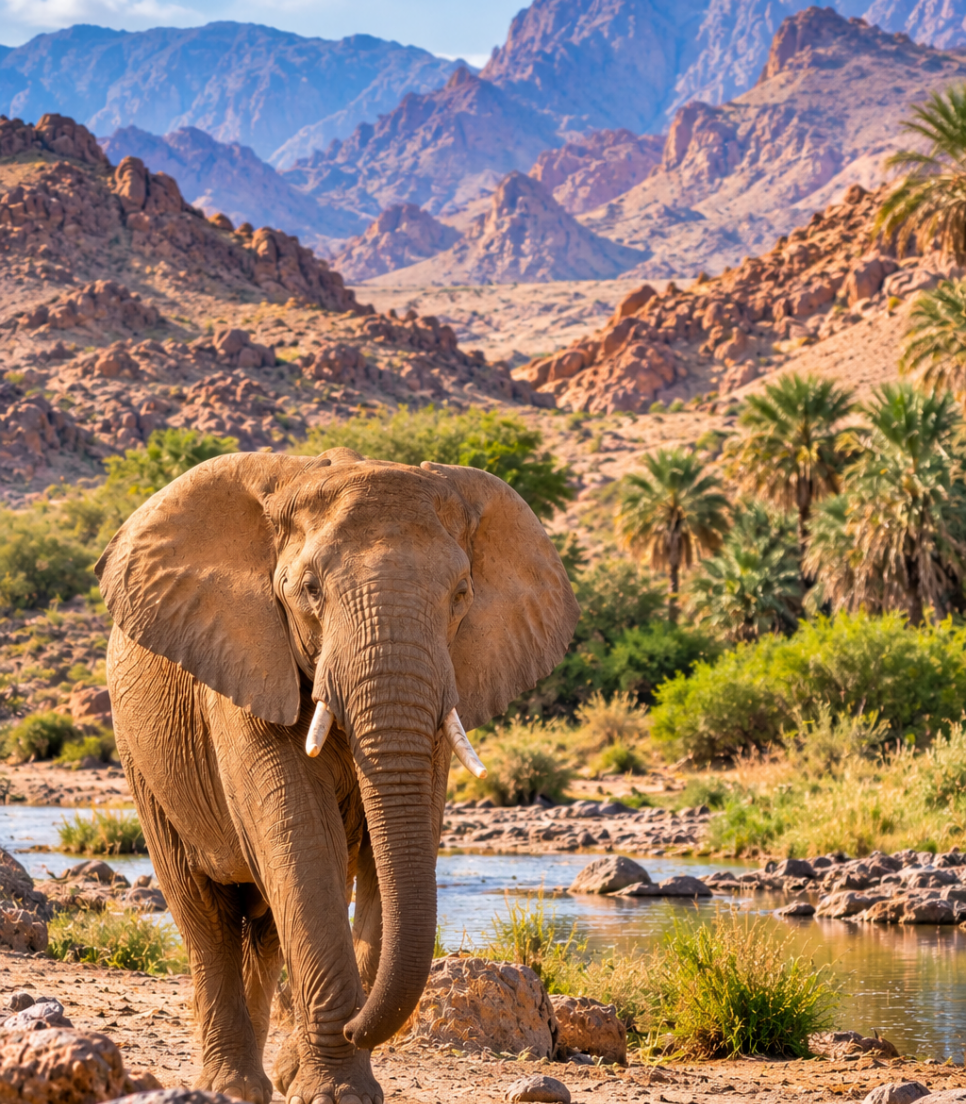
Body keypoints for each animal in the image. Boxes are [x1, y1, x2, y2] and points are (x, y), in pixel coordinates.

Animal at [95, 446, 579, 1104]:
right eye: (309, 590)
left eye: (461, 593)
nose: (353, 1026)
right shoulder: (247, 659)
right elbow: (303, 846)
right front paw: (334, 1090)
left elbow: (386, 852)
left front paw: (315, 1076)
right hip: (142, 759)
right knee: (206, 915)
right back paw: (233, 1086)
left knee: (265, 926)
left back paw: (269, 1076)